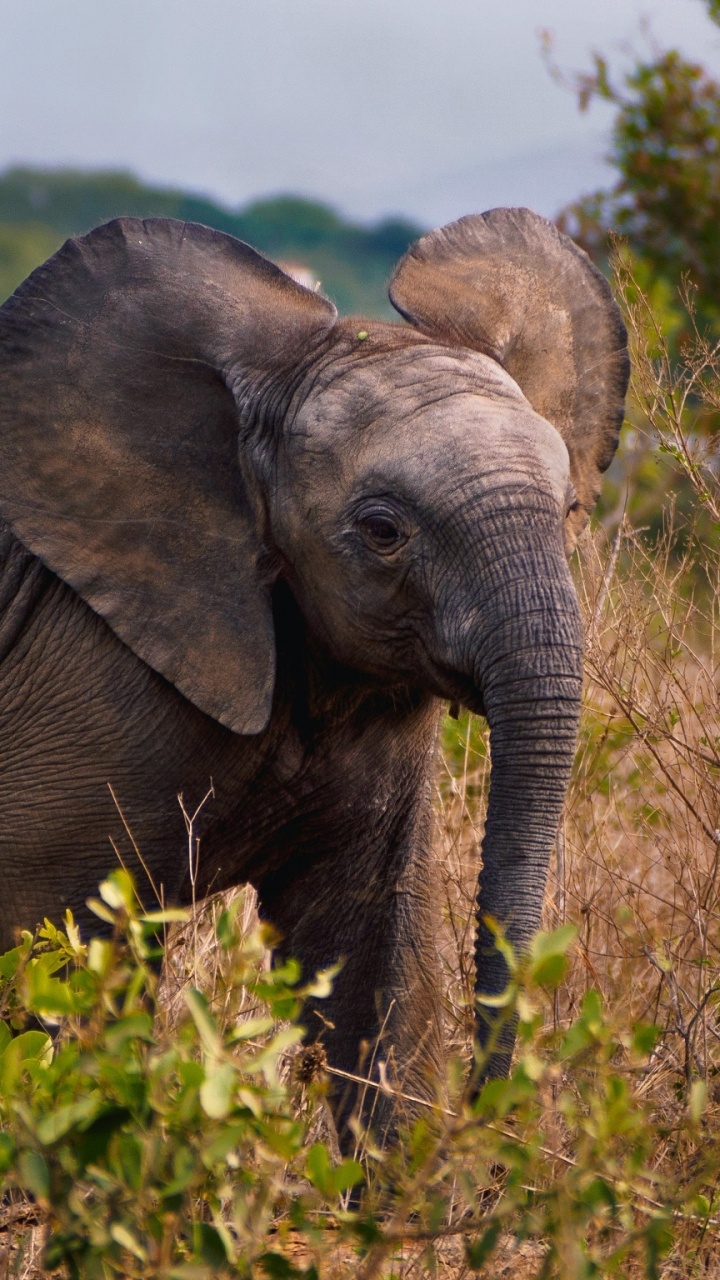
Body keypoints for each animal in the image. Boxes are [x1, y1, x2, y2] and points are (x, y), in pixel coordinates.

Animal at [0, 208, 628, 1145]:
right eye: (382, 531)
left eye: (568, 511)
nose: (493, 1112)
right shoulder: (85, 668)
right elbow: (59, 952)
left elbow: (378, 961)